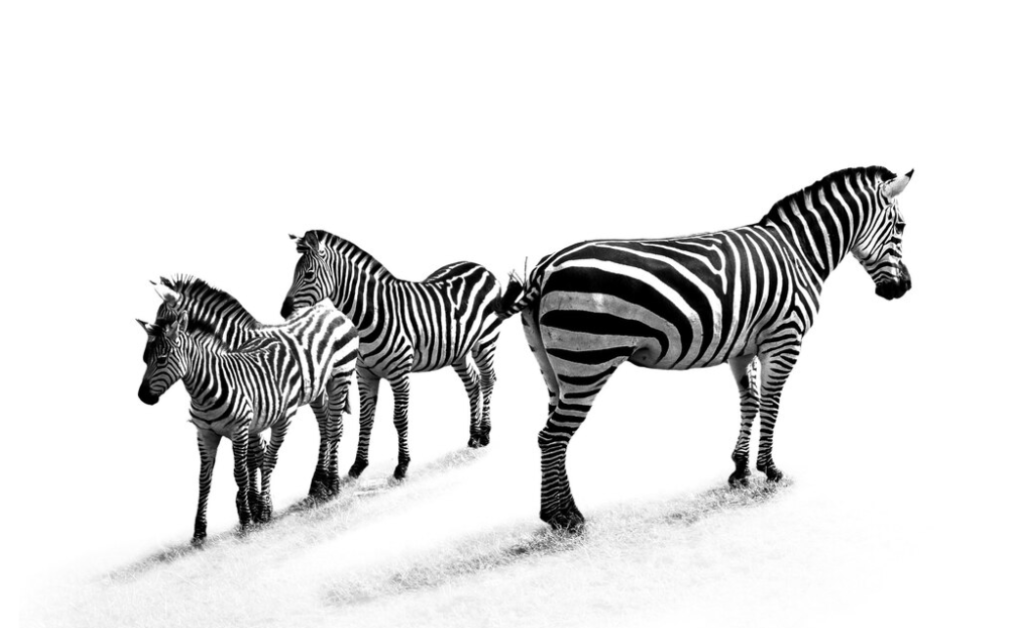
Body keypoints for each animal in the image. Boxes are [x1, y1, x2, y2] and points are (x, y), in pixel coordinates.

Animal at [138, 297, 358, 536]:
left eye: (161, 359)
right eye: (144, 359)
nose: (142, 396)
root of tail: (328, 308)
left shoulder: (242, 427)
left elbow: (242, 470)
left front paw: (248, 514)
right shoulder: (207, 432)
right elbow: (205, 479)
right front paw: (200, 530)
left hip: (338, 379)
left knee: (332, 429)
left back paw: (332, 484)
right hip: (317, 391)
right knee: (325, 428)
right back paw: (319, 483)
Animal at [282, 231, 512, 479]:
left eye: (308, 274)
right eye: (293, 273)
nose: (283, 311)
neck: (370, 315)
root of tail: (479, 266)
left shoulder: (399, 373)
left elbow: (400, 419)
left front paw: (402, 465)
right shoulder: (365, 373)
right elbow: (366, 419)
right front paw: (358, 465)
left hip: (485, 341)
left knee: (488, 379)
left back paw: (485, 433)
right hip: (457, 351)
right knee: (473, 383)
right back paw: (474, 435)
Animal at [499, 166, 917, 528]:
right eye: (901, 227)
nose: (904, 289)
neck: (799, 251)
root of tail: (545, 267)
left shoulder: (743, 347)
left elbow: (750, 403)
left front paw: (740, 468)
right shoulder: (784, 339)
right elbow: (772, 405)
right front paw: (770, 469)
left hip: (554, 368)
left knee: (552, 434)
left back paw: (560, 510)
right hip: (588, 361)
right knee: (552, 436)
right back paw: (563, 518)